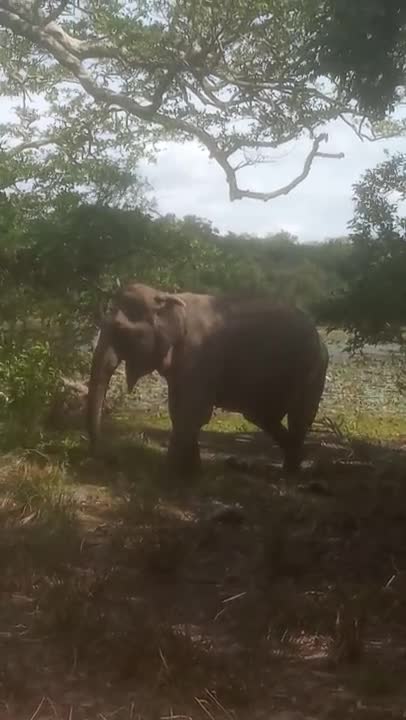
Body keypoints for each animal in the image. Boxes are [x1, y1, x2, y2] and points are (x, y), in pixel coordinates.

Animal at [87, 283, 329, 475]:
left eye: (119, 330)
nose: (109, 457)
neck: (166, 296)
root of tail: (319, 337)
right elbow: (179, 410)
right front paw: (191, 473)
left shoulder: (200, 355)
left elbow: (193, 411)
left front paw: (170, 476)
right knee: (262, 416)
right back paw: (295, 462)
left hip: (313, 369)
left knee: (298, 417)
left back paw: (291, 472)